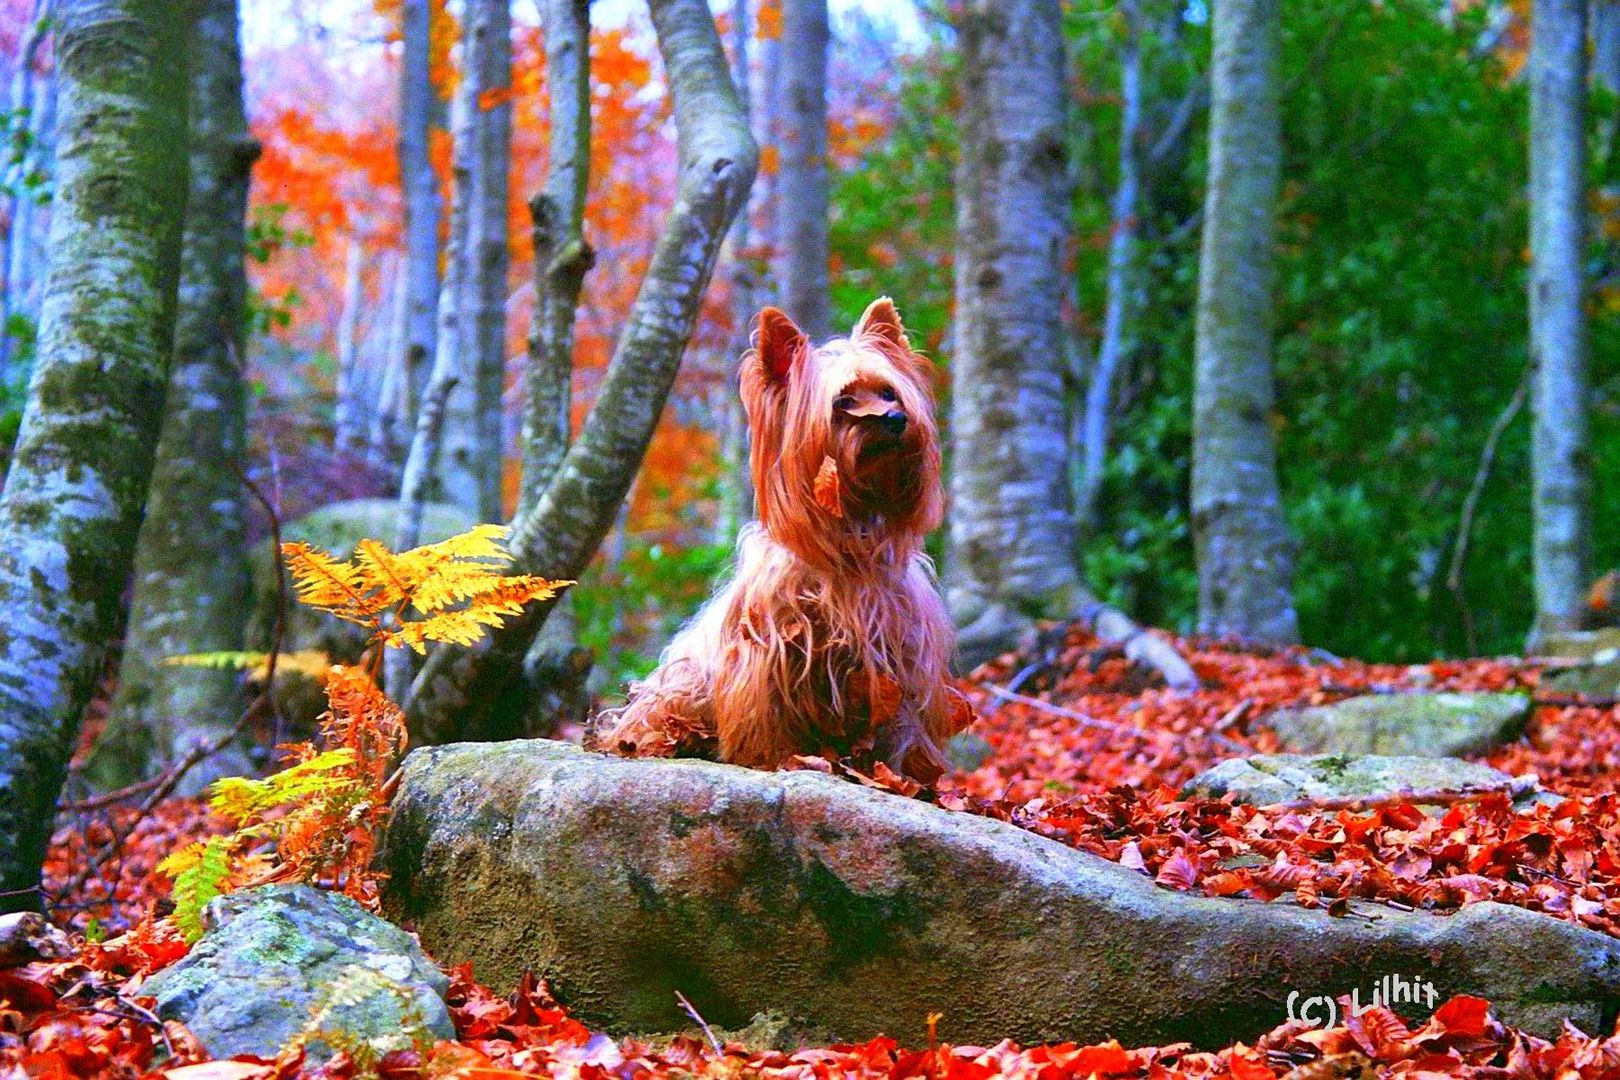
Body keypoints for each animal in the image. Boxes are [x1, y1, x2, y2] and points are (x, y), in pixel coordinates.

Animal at [599, 299, 965, 780]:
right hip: (681, 685)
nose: (896, 420)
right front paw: (769, 757)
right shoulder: (769, 649)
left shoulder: (901, 653)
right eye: (844, 402)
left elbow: (903, 719)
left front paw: (908, 773)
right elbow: (766, 706)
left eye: (889, 393)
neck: (851, 540)